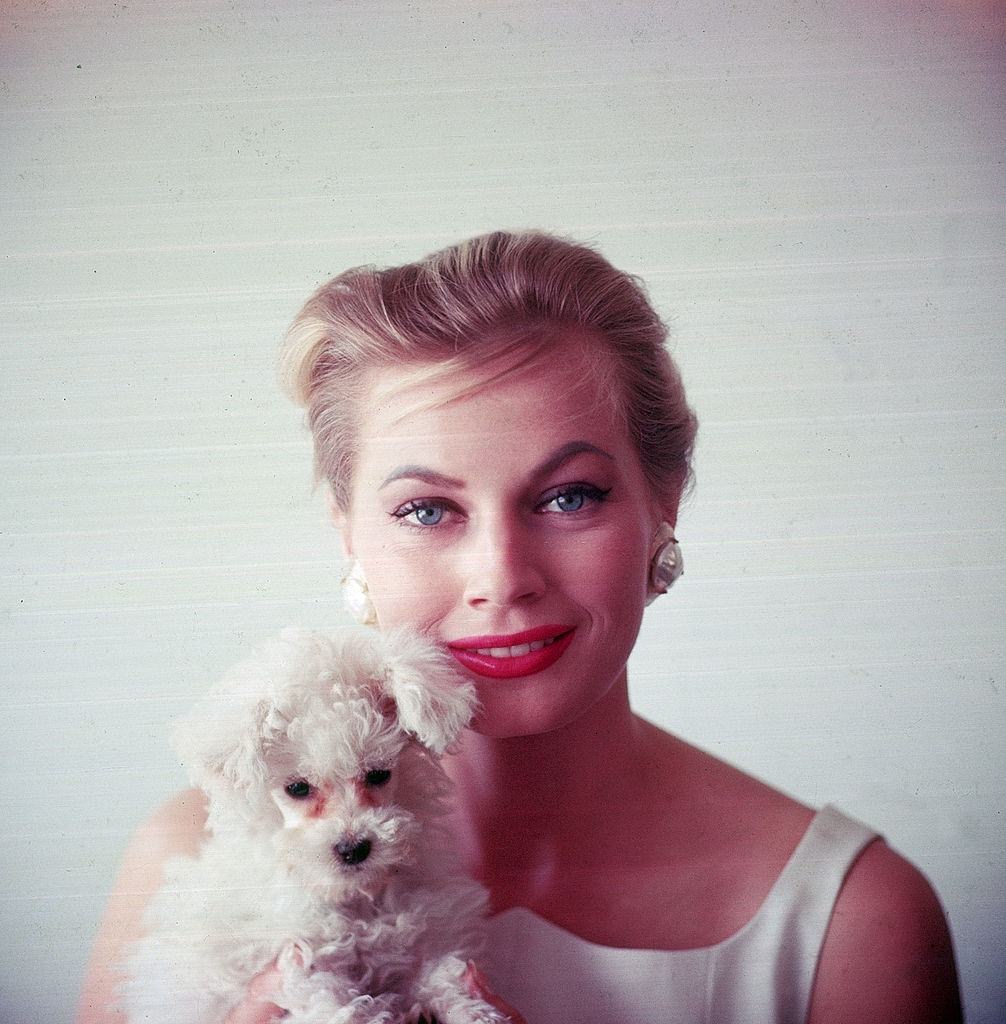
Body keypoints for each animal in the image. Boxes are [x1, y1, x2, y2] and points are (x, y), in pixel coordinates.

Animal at [121, 626, 508, 1024]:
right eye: (297, 788)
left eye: (378, 774)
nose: (353, 848)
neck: (355, 899)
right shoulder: (302, 960)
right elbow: (339, 1008)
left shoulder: (428, 933)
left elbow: (444, 974)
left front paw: (474, 1012)